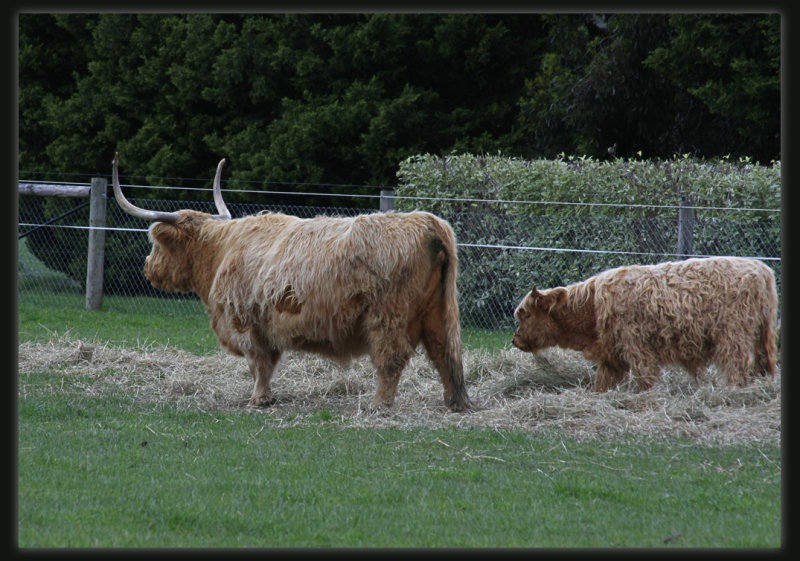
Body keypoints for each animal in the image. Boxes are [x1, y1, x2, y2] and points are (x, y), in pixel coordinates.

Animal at [114, 153, 476, 412]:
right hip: (437, 311)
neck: (221, 252)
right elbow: (266, 364)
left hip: (388, 316)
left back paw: (379, 405)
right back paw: (455, 403)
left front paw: (258, 400)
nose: (148, 268)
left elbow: (259, 364)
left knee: (391, 358)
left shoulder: (245, 323)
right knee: (445, 352)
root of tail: (428, 222)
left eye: (156, 243)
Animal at [510, 258, 780, 392]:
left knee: (738, 367)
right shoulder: (611, 357)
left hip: (733, 337)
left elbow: (646, 379)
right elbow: (601, 384)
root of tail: (761, 268)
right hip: (761, 336)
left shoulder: (636, 347)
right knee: (763, 364)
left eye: (525, 314)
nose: (515, 339)